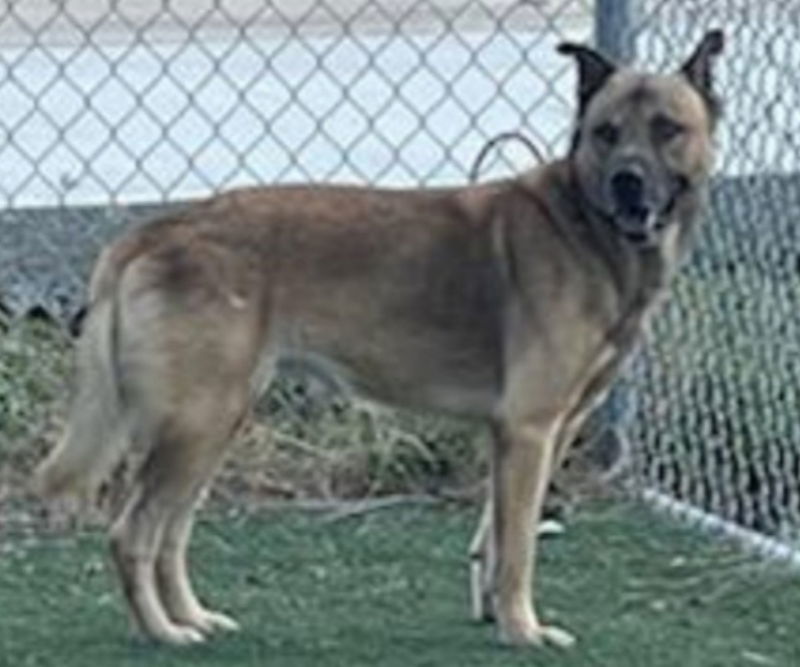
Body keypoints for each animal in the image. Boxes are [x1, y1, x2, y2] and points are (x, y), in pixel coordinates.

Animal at [34, 30, 724, 648]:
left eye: (667, 128)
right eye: (607, 132)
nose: (628, 182)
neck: (587, 228)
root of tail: (152, 231)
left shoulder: (535, 435)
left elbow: (496, 538)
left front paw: (496, 616)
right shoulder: (529, 430)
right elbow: (520, 546)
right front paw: (524, 630)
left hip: (212, 426)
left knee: (171, 534)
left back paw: (193, 618)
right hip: (197, 425)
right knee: (133, 533)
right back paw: (161, 632)